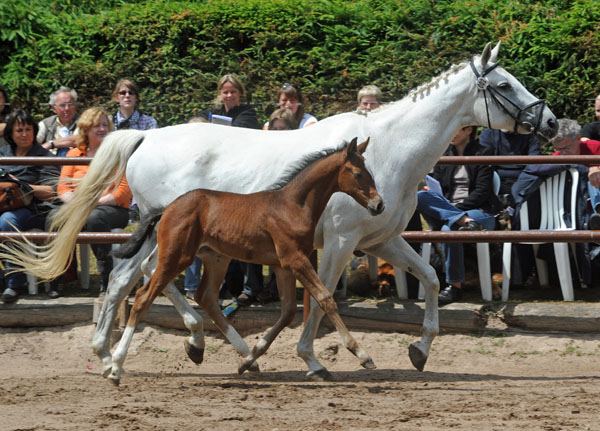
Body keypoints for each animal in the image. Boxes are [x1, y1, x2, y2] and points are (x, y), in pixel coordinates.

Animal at [109, 138, 382, 384]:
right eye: (358, 173)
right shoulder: (294, 259)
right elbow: (325, 298)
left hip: (216, 257)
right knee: (143, 297)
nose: (379, 204)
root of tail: (166, 208)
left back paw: (215, 351)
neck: (294, 206)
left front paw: (250, 360)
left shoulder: (282, 265)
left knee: (206, 297)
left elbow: (287, 312)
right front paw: (362, 355)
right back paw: (115, 367)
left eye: (370, 171)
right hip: (177, 256)